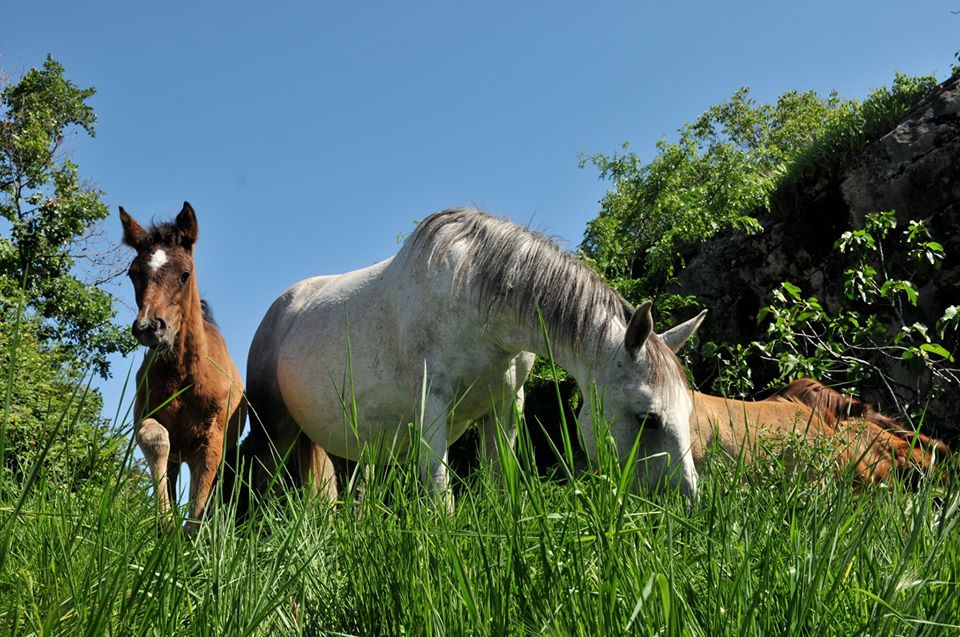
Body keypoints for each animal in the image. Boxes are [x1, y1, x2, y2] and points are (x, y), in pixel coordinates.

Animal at [120, 201, 246, 528]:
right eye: (132, 274)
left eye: (184, 274)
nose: (150, 327)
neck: (183, 376)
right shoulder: (147, 419)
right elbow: (155, 440)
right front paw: (165, 521)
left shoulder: (211, 440)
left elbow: (199, 500)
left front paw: (189, 534)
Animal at [244, 209, 700, 506]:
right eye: (647, 417)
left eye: (687, 411)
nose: (689, 504)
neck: (473, 295)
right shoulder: (432, 405)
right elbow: (440, 490)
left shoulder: (504, 407)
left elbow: (500, 484)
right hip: (275, 433)